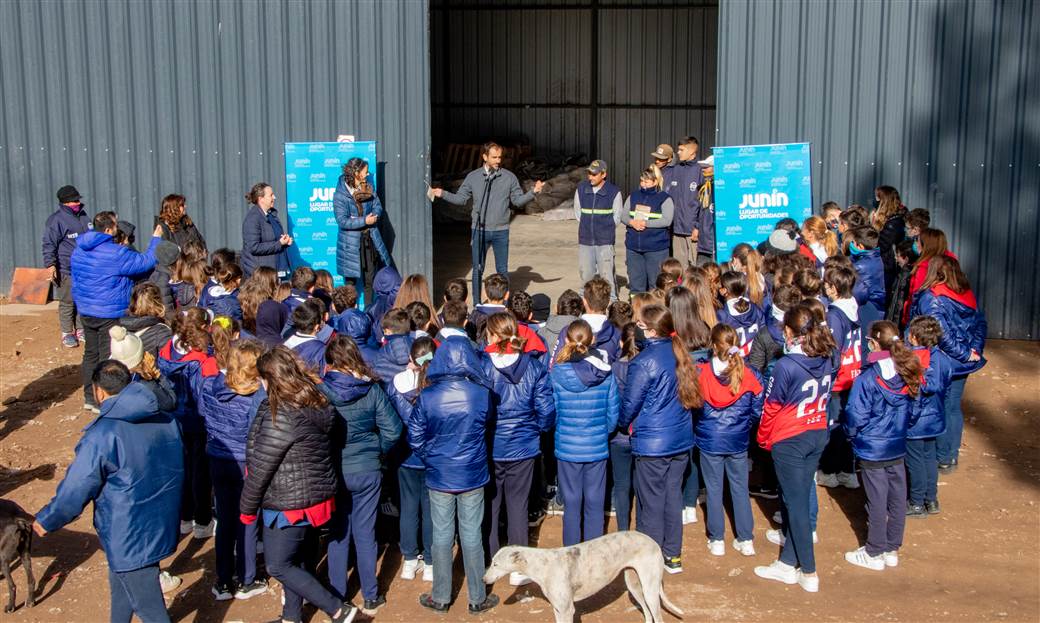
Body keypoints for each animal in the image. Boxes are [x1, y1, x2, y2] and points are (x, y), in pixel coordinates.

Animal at [484, 530, 686, 623]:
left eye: (495, 564)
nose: (483, 580)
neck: (543, 565)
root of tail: (653, 541)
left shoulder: (567, 610)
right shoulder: (558, 609)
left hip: (650, 589)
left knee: (657, 617)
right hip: (634, 585)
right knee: (647, 612)